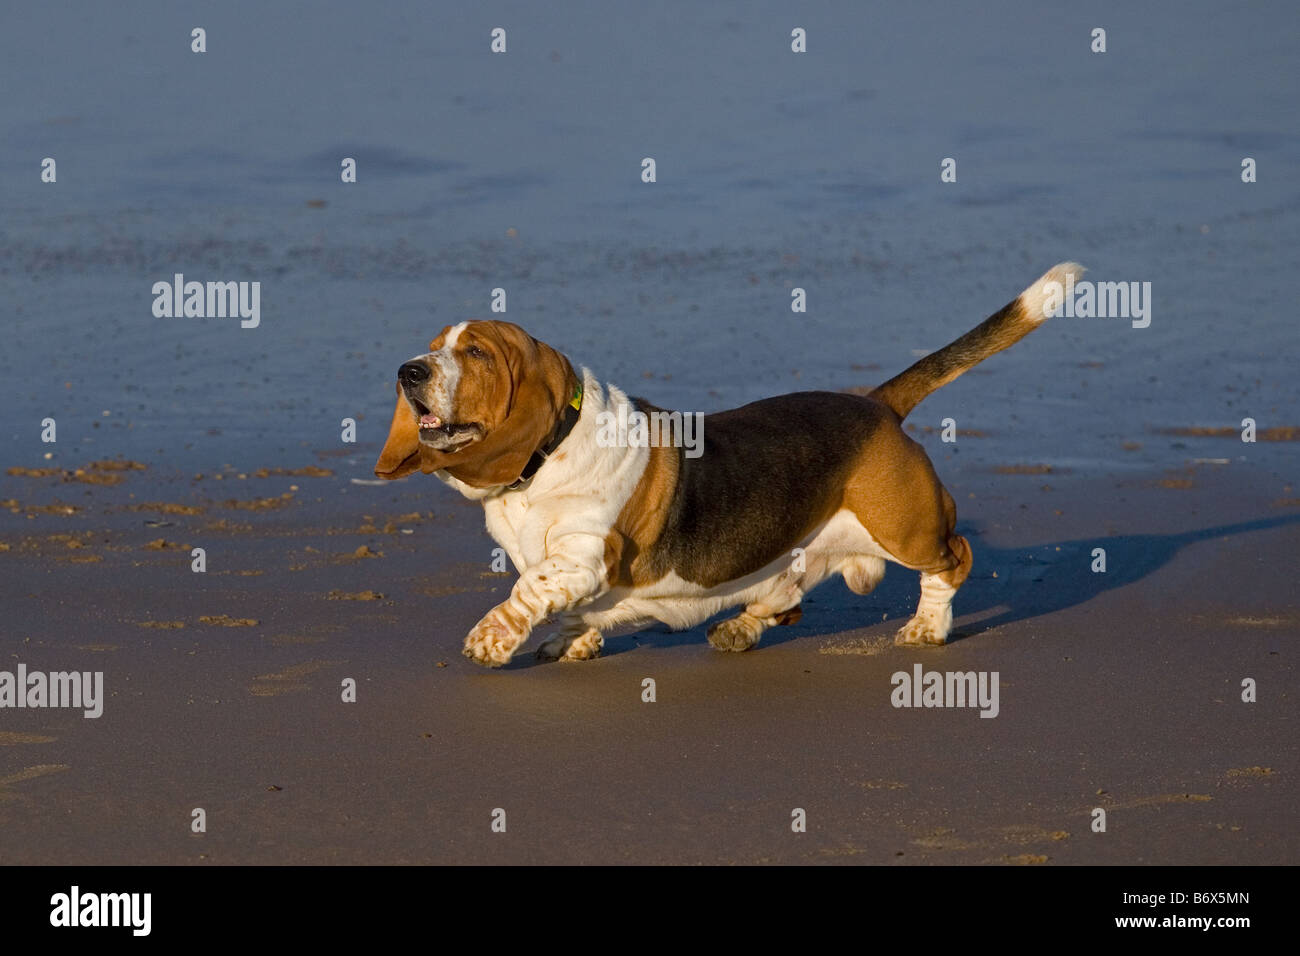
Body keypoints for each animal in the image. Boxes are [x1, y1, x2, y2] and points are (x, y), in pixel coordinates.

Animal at [379, 261, 1086, 665]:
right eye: (434, 346)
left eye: (475, 353)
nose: (407, 371)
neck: (545, 460)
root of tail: (876, 406)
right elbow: (560, 603)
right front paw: (574, 640)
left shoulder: (580, 555)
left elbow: (528, 591)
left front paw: (491, 641)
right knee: (788, 601)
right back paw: (741, 630)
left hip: (904, 528)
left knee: (953, 560)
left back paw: (925, 629)